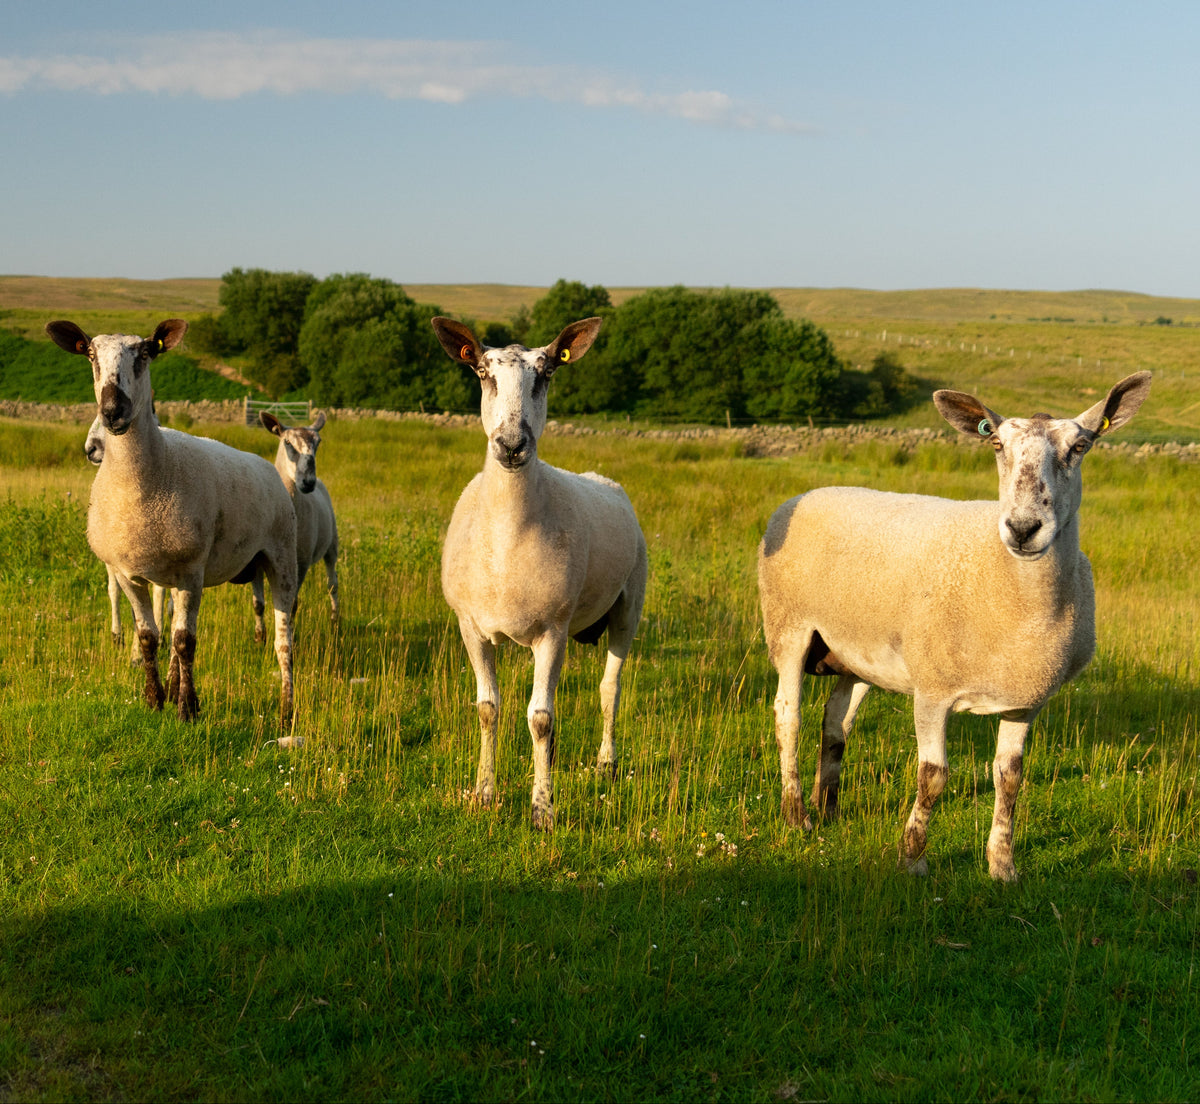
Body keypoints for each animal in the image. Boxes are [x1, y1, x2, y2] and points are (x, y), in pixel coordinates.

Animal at [47, 319, 299, 729]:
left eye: (146, 353)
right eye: (90, 354)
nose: (113, 410)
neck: (141, 481)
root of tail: (266, 466)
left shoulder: (192, 570)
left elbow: (185, 642)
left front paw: (187, 710)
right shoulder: (128, 573)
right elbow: (150, 637)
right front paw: (155, 700)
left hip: (281, 556)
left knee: (283, 641)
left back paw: (286, 711)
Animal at [250, 410, 339, 640]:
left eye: (318, 442)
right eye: (287, 442)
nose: (308, 482)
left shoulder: (302, 561)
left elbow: (292, 606)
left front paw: (290, 635)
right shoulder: (255, 562)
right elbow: (258, 604)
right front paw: (259, 638)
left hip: (332, 543)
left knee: (332, 584)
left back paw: (335, 620)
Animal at [431, 315, 648, 829]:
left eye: (546, 373)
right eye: (482, 373)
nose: (512, 445)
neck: (509, 535)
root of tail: (602, 478)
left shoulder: (552, 630)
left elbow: (541, 719)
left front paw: (543, 810)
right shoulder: (470, 626)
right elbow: (488, 709)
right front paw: (484, 794)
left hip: (628, 606)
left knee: (608, 688)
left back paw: (606, 764)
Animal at [757, 371, 1152, 881]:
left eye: (1080, 446)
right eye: (997, 444)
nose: (1023, 529)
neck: (1017, 595)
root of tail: (804, 494)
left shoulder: (1025, 697)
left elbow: (1010, 779)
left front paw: (1002, 866)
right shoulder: (932, 690)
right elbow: (933, 777)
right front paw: (913, 858)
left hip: (857, 652)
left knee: (836, 721)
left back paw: (829, 809)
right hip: (790, 627)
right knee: (789, 715)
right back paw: (797, 815)